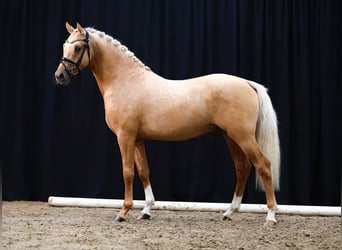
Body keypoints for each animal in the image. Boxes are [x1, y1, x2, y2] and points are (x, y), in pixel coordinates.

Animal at [55, 22, 280, 227]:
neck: (125, 80)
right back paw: (229, 212)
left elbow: (127, 172)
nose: (60, 76)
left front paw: (123, 212)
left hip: (243, 137)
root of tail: (247, 83)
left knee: (263, 165)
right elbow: (143, 171)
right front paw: (146, 210)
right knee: (242, 168)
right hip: (231, 136)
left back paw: (270, 216)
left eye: (77, 47)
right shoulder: (138, 139)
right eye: (65, 45)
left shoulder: (125, 137)